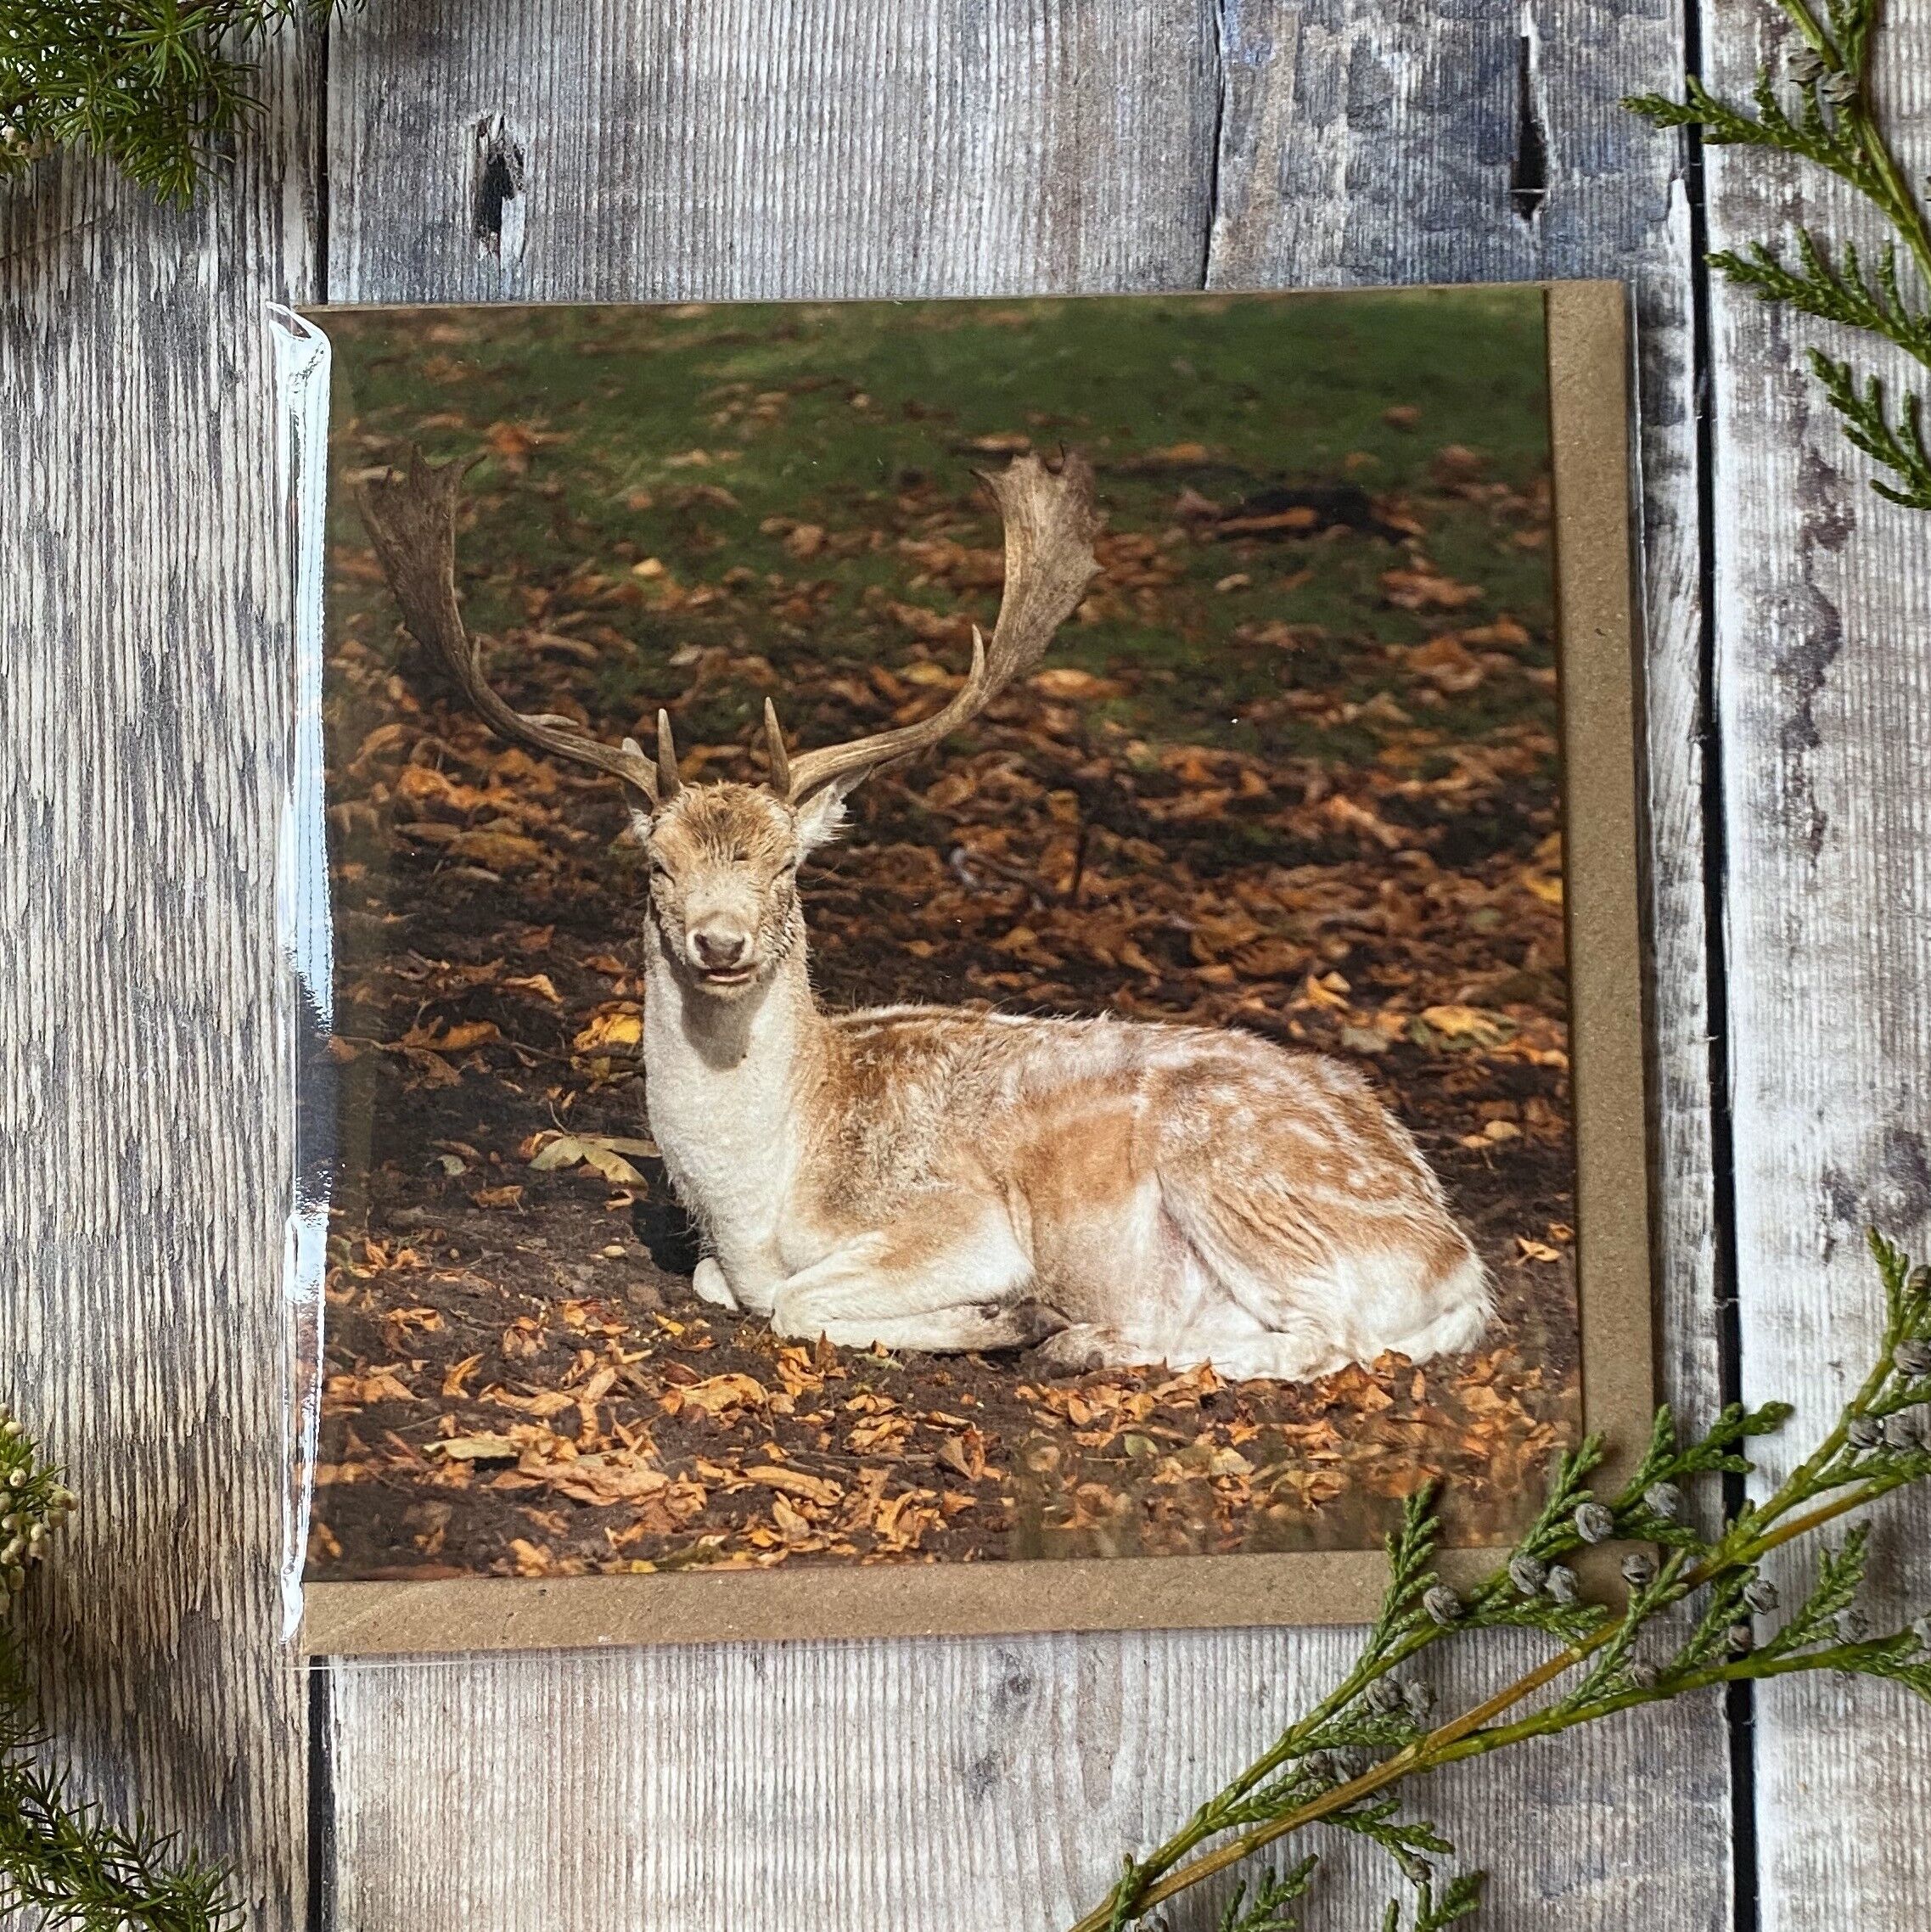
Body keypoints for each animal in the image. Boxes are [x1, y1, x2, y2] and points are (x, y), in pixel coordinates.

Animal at [356, 445, 1491, 1382]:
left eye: (785, 866)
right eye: (656, 867)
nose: (719, 942)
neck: (756, 1194)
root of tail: (1456, 1261)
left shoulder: (955, 1217)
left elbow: (791, 1299)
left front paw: (1007, 1312)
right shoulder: (727, 1256)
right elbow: (726, 1287)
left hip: (1239, 1178)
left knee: (1331, 1337)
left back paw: (1081, 1338)